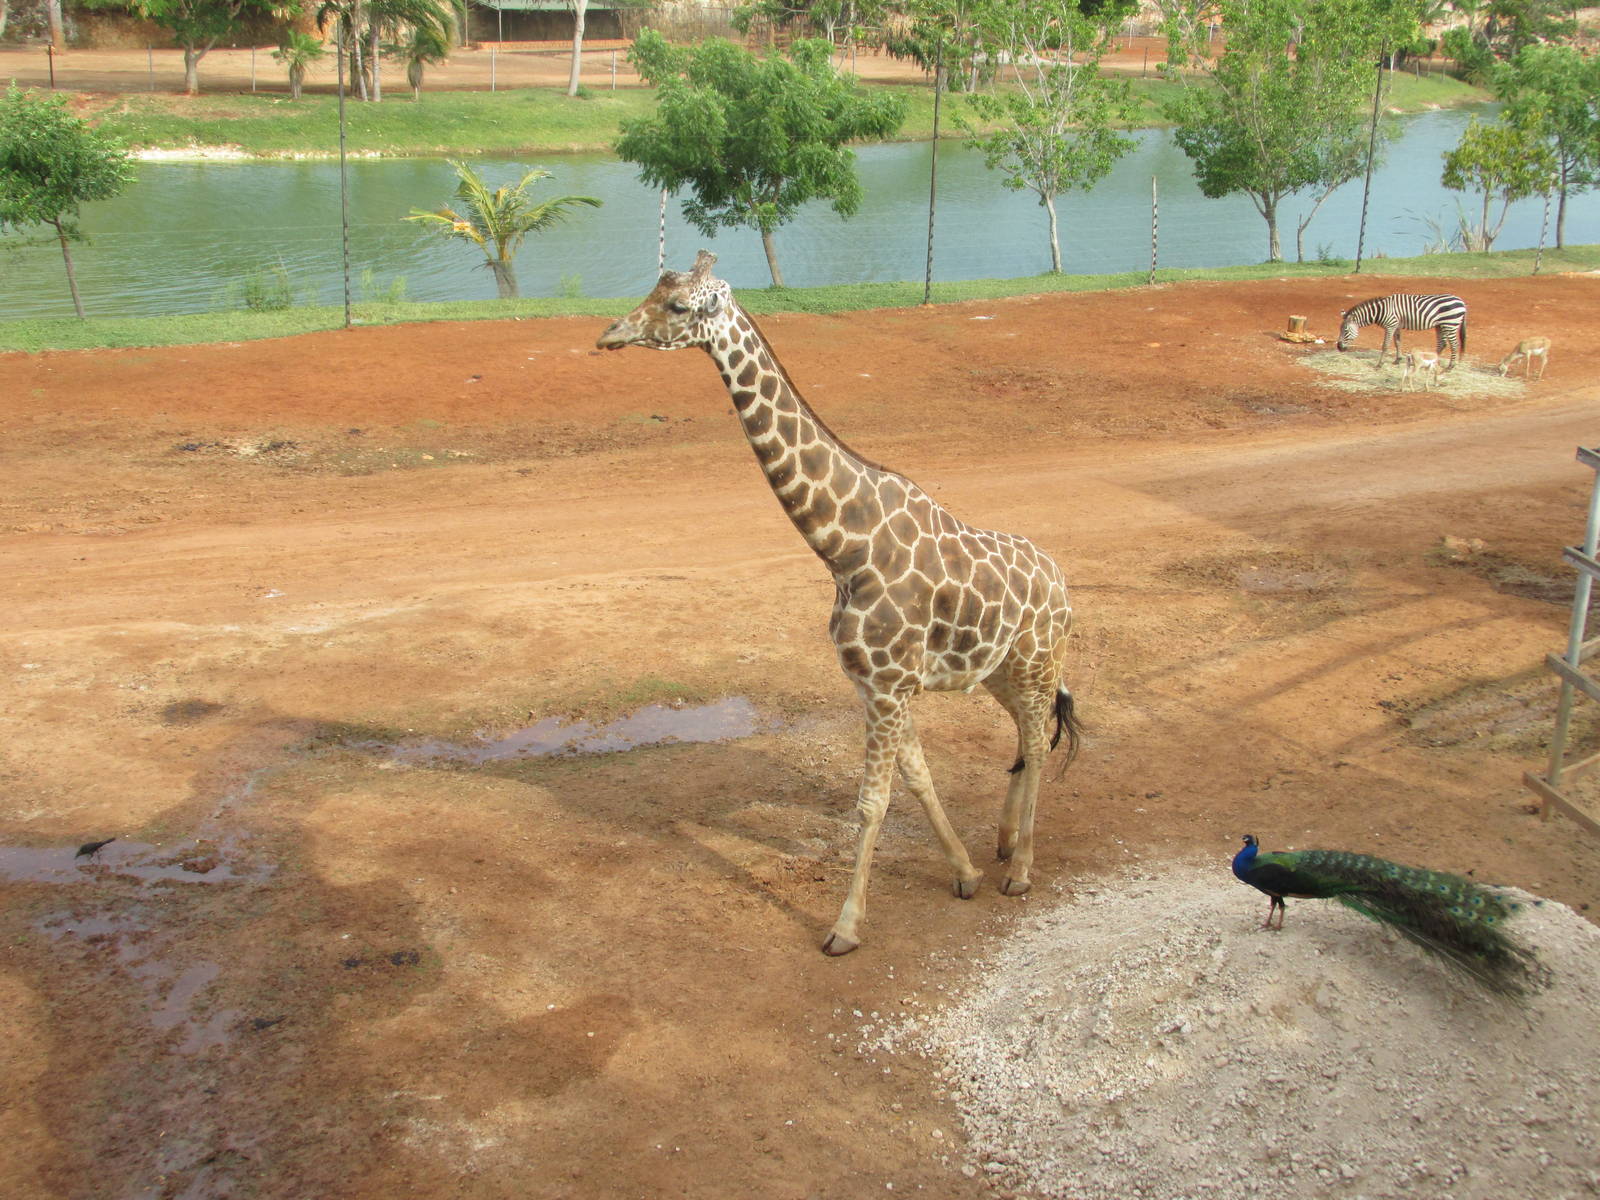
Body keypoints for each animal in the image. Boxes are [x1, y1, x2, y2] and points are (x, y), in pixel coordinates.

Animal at [596, 251, 1082, 955]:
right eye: (652, 288)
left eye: (679, 306)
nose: (609, 335)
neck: (845, 548)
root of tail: (1063, 583)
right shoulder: (875, 684)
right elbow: (918, 777)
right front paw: (963, 874)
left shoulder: (887, 685)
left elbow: (872, 802)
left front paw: (845, 927)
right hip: (1001, 670)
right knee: (1025, 737)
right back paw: (1002, 843)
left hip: (1039, 660)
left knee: (1041, 744)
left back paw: (1020, 871)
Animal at [1336, 293, 1468, 371]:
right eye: (1340, 329)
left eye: (1346, 330)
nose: (1339, 347)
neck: (1381, 310)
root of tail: (1461, 301)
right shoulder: (1396, 326)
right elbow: (1397, 342)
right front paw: (1397, 360)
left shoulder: (1390, 326)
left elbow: (1385, 346)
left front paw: (1379, 365)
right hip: (1440, 325)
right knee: (1442, 344)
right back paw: (1431, 361)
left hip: (1450, 324)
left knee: (1454, 345)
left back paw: (1450, 367)